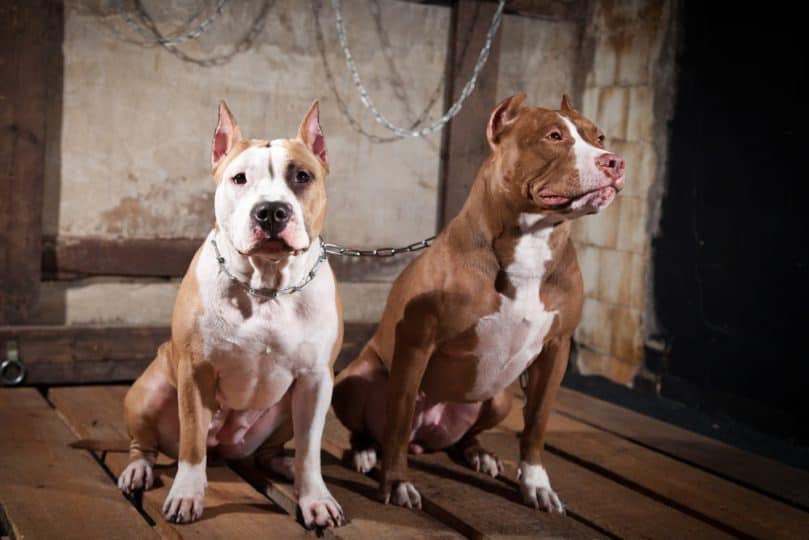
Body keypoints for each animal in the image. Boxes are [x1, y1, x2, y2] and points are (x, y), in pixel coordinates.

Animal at [119, 101, 344, 528]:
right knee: (145, 443)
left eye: (302, 176)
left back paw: (286, 465)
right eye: (239, 178)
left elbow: (310, 450)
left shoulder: (315, 380)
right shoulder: (195, 372)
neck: (267, 286)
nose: (271, 211)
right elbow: (191, 446)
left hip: (289, 408)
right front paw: (187, 494)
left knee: (276, 450)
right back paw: (139, 469)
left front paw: (315, 497)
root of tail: (224, 447)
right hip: (149, 392)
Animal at [332, 93, 620, 510]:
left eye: (599, 137)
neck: (531, 242)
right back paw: (365, 452)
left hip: (499, 397)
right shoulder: (417, 344)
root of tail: (427, 436)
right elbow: (398, 421)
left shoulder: (556, 348)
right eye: (553, 136)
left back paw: (478, 453)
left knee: (467, 434)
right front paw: (397, 482)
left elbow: (537, 422)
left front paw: (536, 484)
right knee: (379, 427)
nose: (614, 161)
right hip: (354, 381)